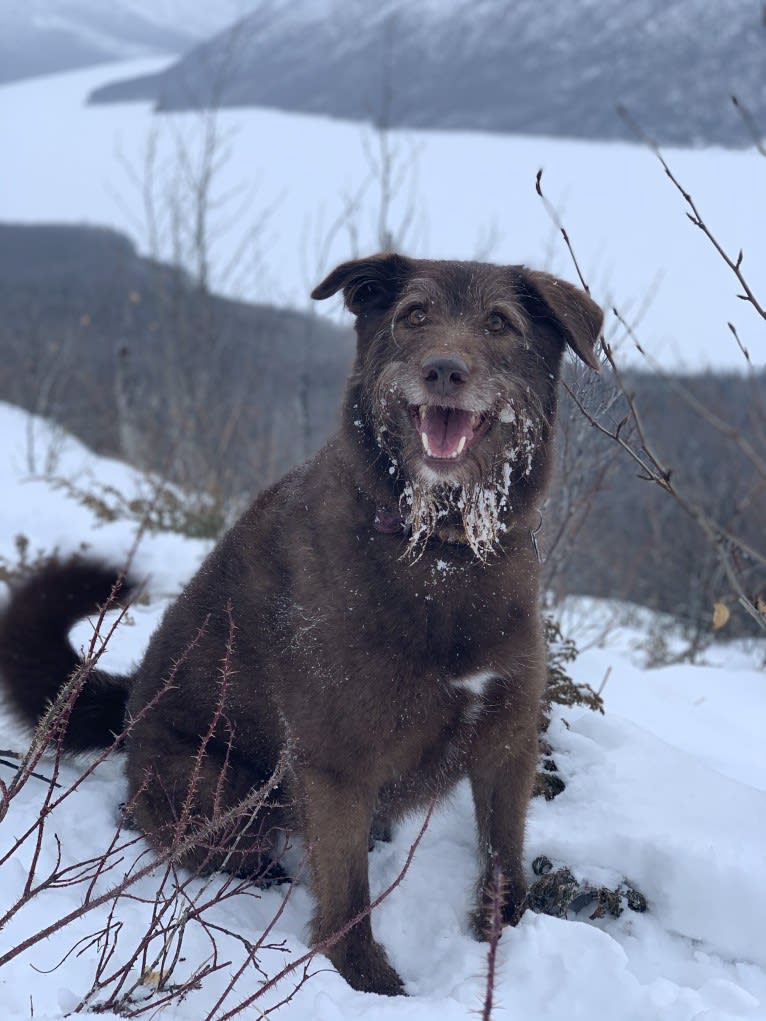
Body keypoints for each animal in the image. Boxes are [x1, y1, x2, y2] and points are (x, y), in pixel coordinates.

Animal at [0, 255, 600, 996]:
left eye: (499, 323)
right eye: (414, 315)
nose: (444, 370)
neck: (441, 552)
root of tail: (131, 707)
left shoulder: (506, 738)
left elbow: (504, 861)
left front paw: (500, 938)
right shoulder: (335, 762)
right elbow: (346, 897)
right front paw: (371, 987)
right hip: (213, 785)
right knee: (201, 838)